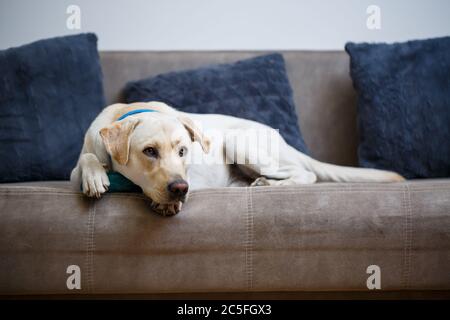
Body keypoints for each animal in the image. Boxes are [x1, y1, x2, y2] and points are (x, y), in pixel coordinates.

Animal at [71, 101, 404, 216]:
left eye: (183, 151)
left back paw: (270, 184)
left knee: (304, 173)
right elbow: (86, 159)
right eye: (149, 151)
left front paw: (167, 204)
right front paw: (95, 175)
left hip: (239, 142)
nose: (180, 188)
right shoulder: (77, 166)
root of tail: (281, 138)